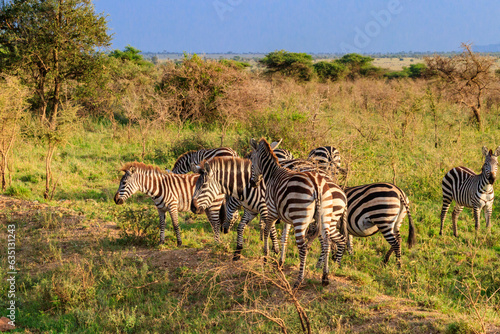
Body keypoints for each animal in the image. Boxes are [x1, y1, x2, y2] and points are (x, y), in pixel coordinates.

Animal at [247, 138, 348, 288]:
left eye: (252, 161)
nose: (253, 183)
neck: (272, 173)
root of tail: (317, 186)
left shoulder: (271, 211)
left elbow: (266, 231)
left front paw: (265, 256)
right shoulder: (287, 218)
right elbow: (284, 238)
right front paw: (280, 262)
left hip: (302, 219)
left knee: (304, 248)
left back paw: (299, 280)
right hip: (324, 218)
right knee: (326, 243)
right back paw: (325, 276)